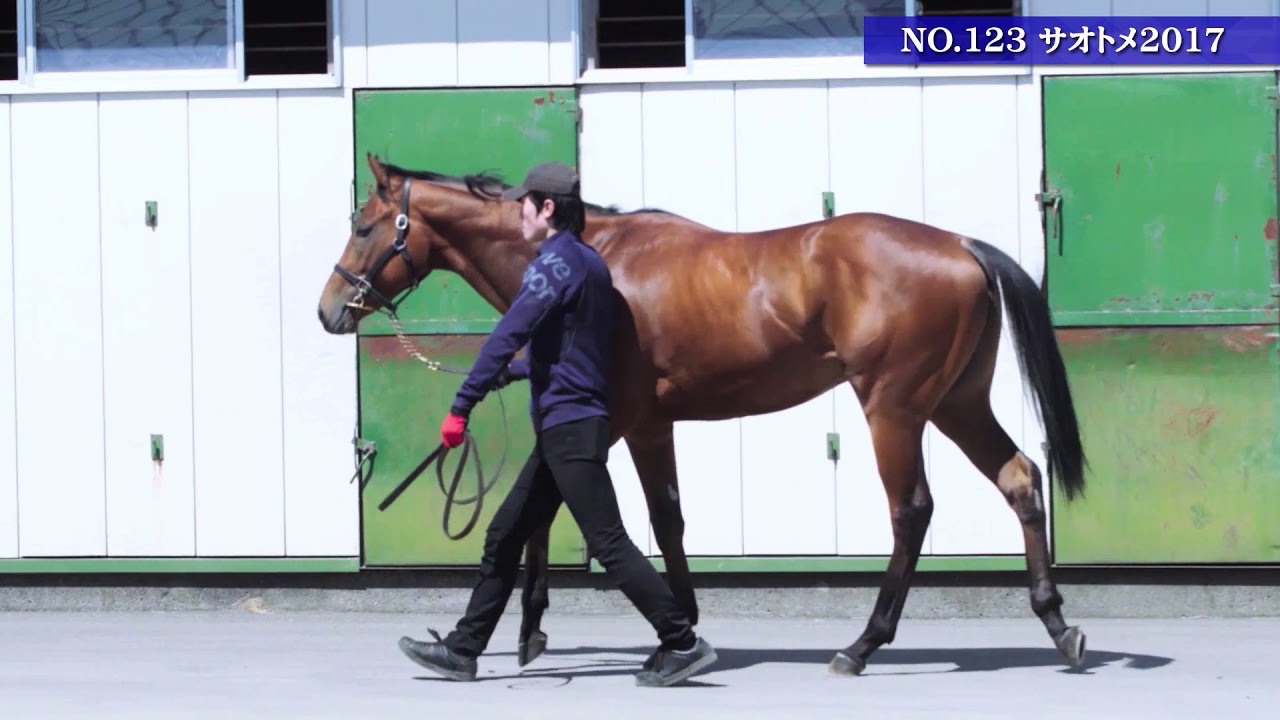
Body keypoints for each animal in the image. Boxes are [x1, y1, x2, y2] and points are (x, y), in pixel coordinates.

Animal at [317, 153, 1089, 676]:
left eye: (365, 226)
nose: (330, 310)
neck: (595, 256)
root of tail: (961, 246)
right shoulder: (641, 425)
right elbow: (645, 519)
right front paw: (659, 625)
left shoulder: (623, 423)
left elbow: (586, 513)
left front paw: (632, 631)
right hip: (959, 402)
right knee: (1020, 479)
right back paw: (1058, 624)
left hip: (894, 410)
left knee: (912, 511)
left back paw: (863, 644)